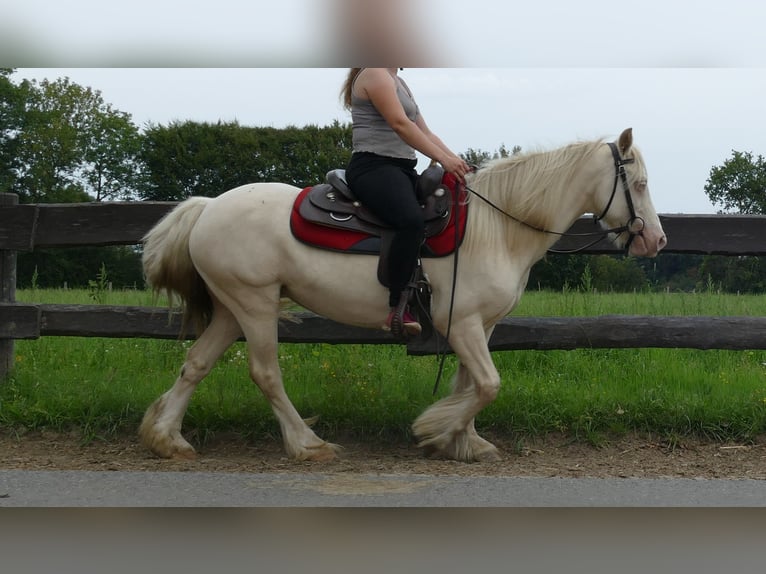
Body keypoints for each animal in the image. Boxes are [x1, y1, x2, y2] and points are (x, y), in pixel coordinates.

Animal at [141, 127, 668, 464]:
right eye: (639, 184)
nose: (656, 240)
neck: (498, 227)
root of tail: (209, 206)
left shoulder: (479, 325)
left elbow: (470, 384)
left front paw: (462, 442)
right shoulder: (462, 323)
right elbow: (488, 385)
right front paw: (435, 431)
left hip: (233, 308)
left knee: (197, 363)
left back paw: (167, 438)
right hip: (255, 305)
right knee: (265, 373)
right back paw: (308, 444)